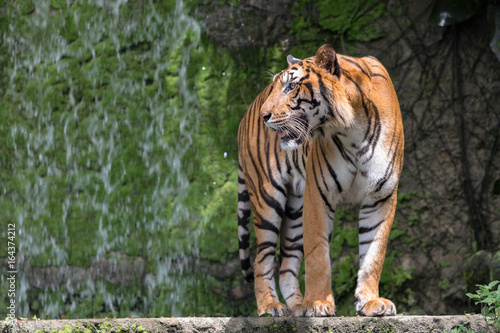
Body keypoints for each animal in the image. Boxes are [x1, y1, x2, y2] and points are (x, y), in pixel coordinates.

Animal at [236, 44, 404, 316]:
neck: (353, 129)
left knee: (286, 264)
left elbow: (374, 254)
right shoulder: (317, 192)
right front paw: (317, 303)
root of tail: (247, 112)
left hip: (295, 207)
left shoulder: (382, 196)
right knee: (262, 259)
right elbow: (317, 253)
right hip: (267, 197)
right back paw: (271, 306)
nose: (264, 116)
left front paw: (370, 302)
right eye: (277, 86)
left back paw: (296, 307)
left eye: (291, 86)